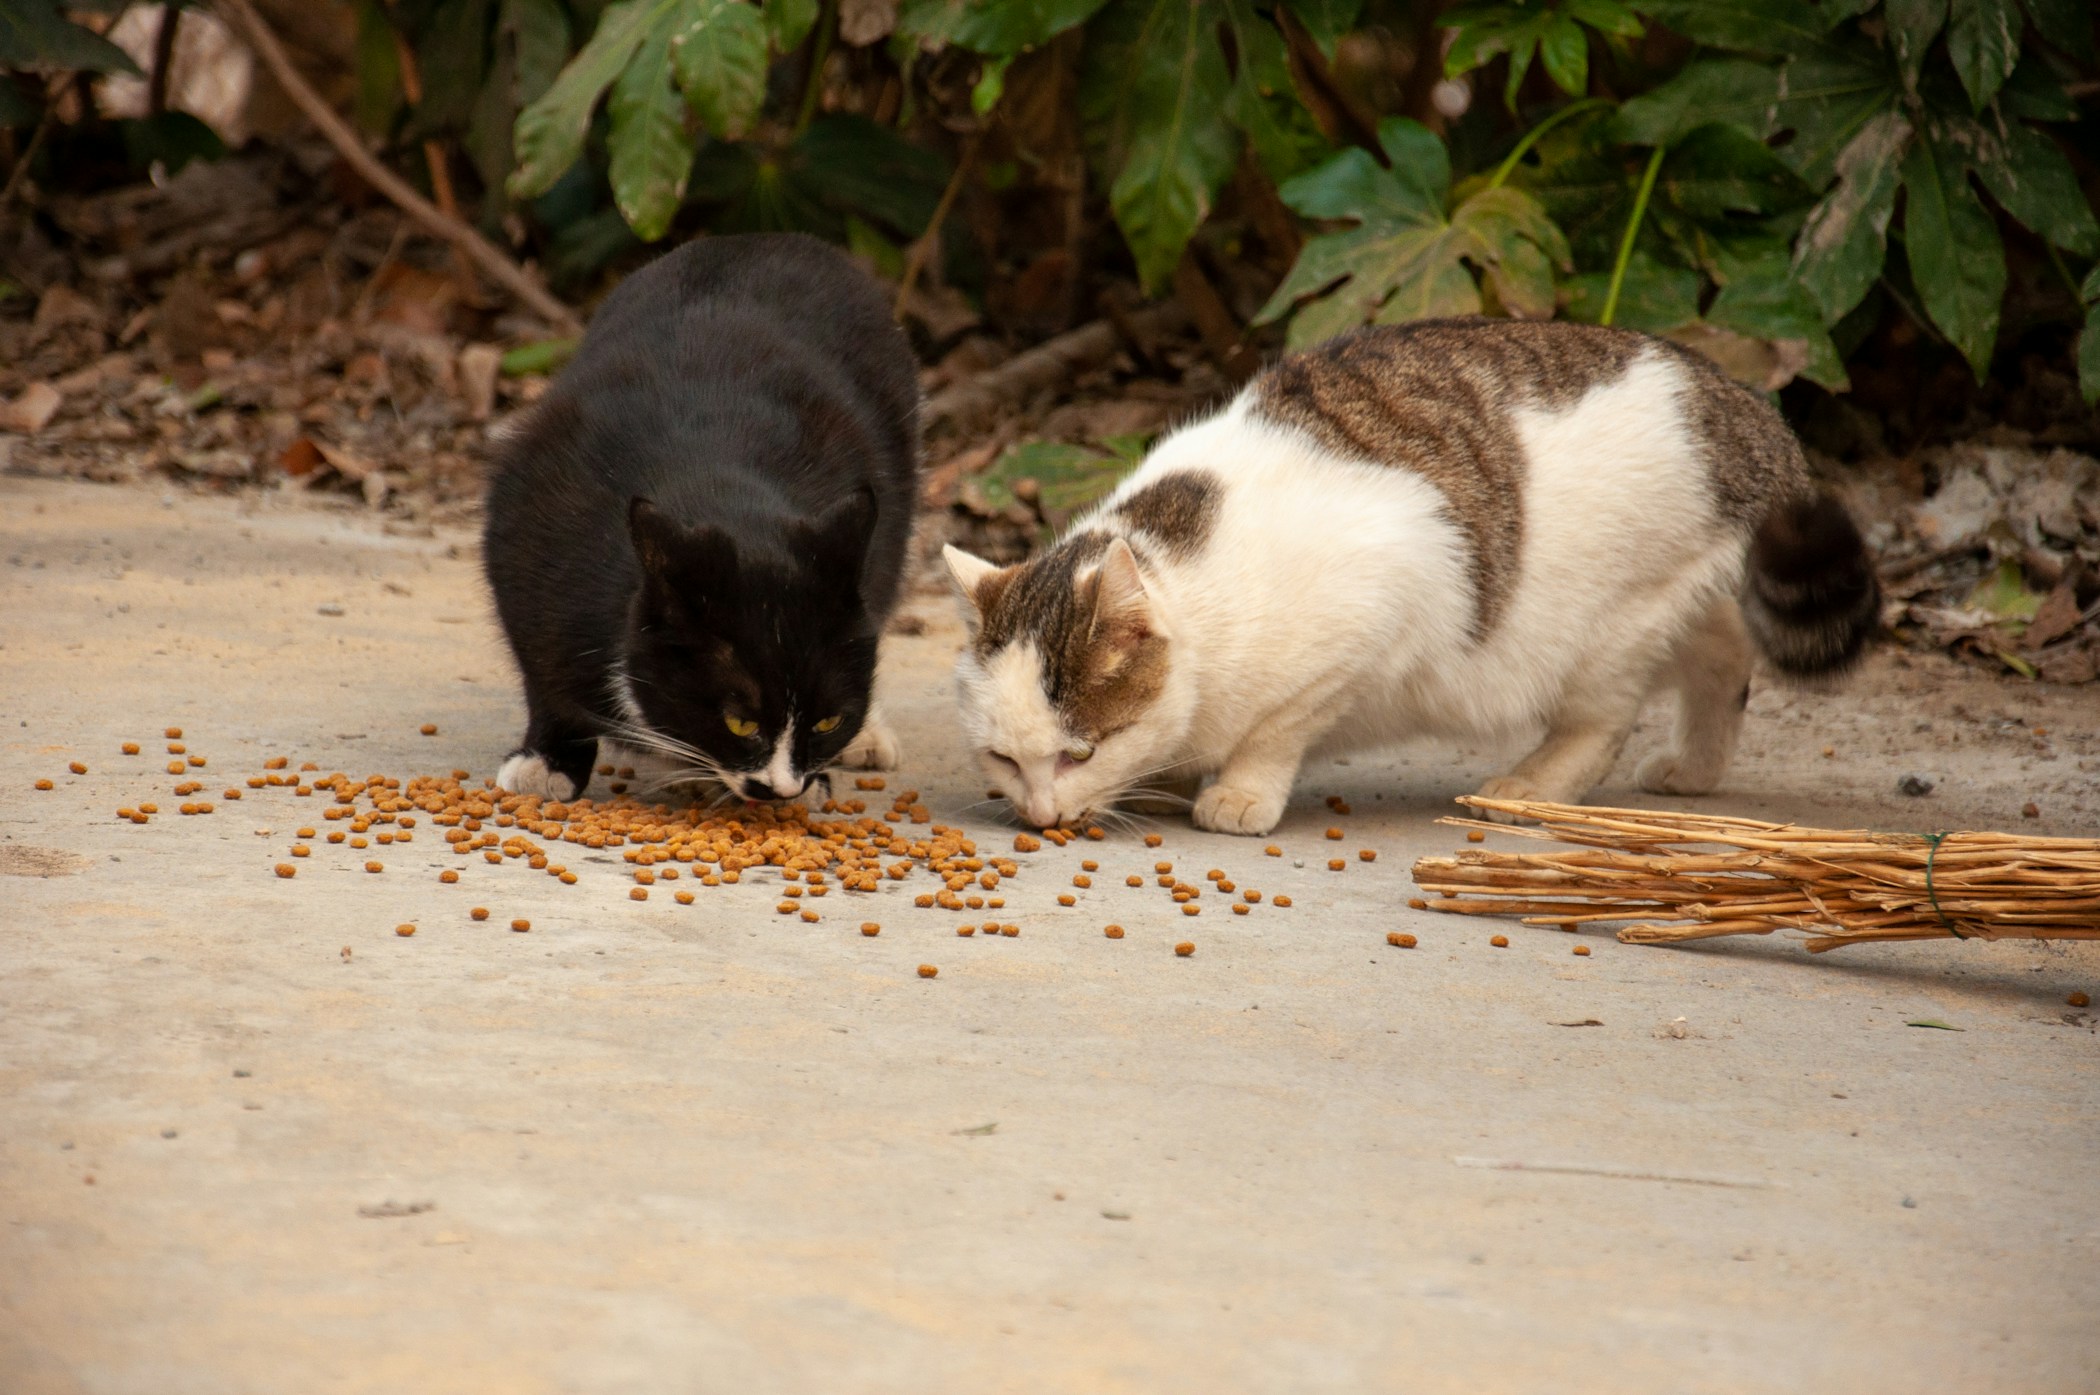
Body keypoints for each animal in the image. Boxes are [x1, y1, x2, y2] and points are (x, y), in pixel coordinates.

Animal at [491, 231, 928, 794]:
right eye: (739, 722)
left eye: (829, 721)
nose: (781, 788)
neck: (717, 485)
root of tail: (769, 237)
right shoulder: (522, 542)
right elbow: (542, 672)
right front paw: (548, 759)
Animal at [944, 321, 1881, 831]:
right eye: (1003, 758)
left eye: (1078, 752)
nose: (1038, 815)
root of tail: (1744, 405)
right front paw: (1166, 779)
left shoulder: (1378, 606)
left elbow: (1274, 731)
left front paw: (1236, 792)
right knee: (1724, 662)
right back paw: (1696, 768)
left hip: (1608, 626)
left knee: (1606, 720)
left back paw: (1529, 787)